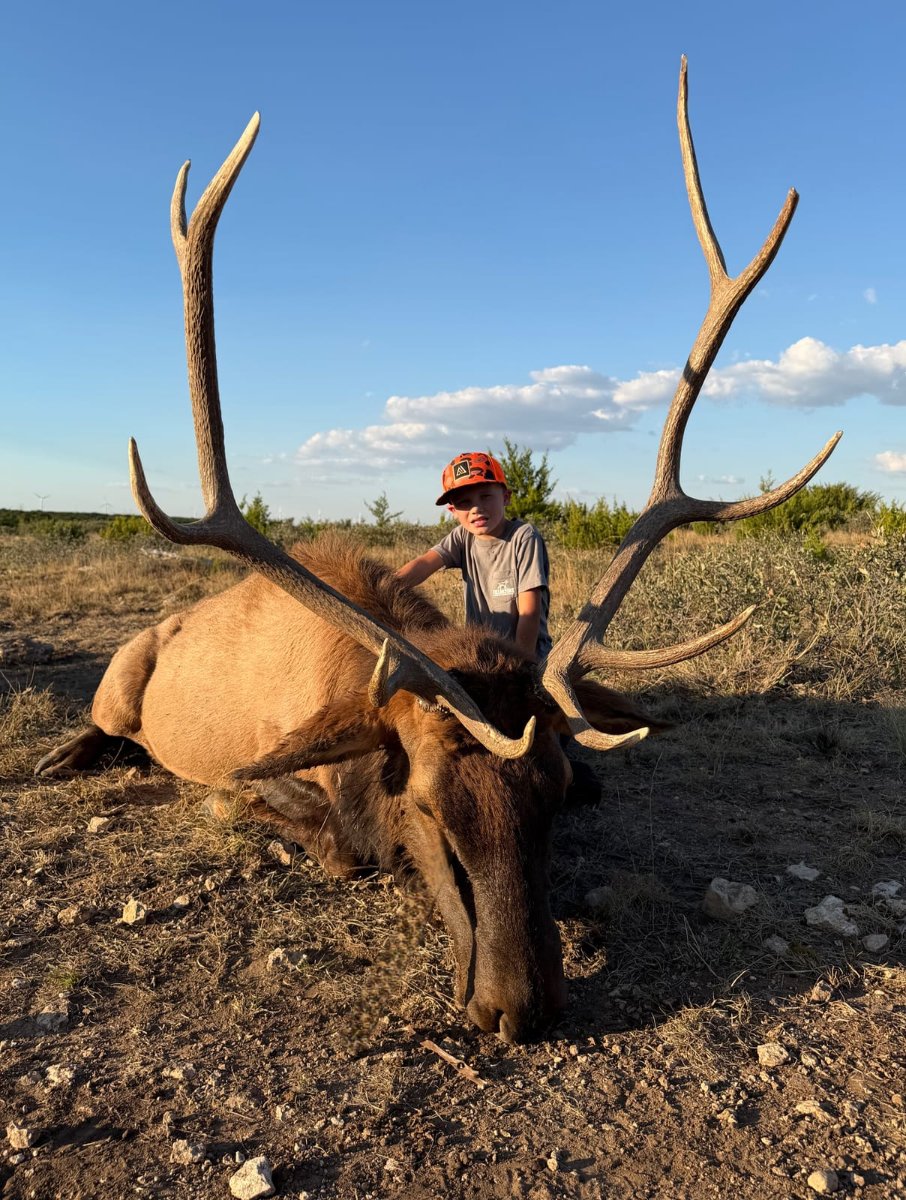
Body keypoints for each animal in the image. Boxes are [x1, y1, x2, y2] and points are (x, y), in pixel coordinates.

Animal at [35, 59, 839, 1042]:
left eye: (551, 794)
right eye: (423, 802)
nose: (519, 1008)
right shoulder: (269, 769)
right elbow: (328, 840)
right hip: (122, 678)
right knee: (107, 726)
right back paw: (60, 757)